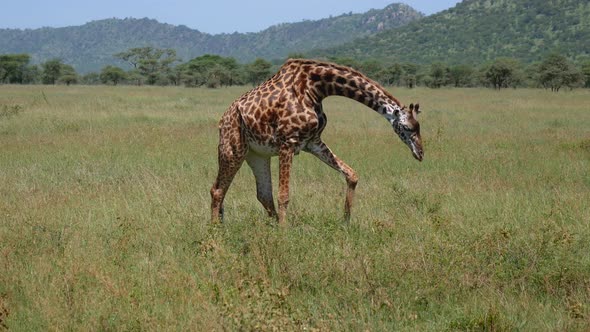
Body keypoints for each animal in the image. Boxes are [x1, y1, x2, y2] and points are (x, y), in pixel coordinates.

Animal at [210, 59, 424, 226]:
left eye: (419, 126)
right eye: (407, 127)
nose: (420, 153)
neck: (317, 88)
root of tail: (222, 120)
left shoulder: (312, 142)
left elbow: (352, 175)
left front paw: (345, 222)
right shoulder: (288, 142)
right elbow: (284, 195)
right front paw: (283, 233)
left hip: (257, 155)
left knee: (263, 194)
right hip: (232, 149)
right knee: (217, 190)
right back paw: (216, 230)